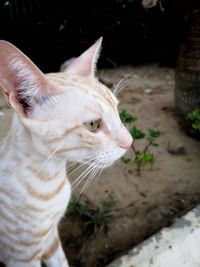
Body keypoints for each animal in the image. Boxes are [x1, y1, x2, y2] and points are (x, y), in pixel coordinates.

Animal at [0, 38, 133, 267]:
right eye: (93, 125)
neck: (50, 180)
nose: (130, 141)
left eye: (117, 110)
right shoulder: (22, 258)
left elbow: (61, 262)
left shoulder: (52, 239)